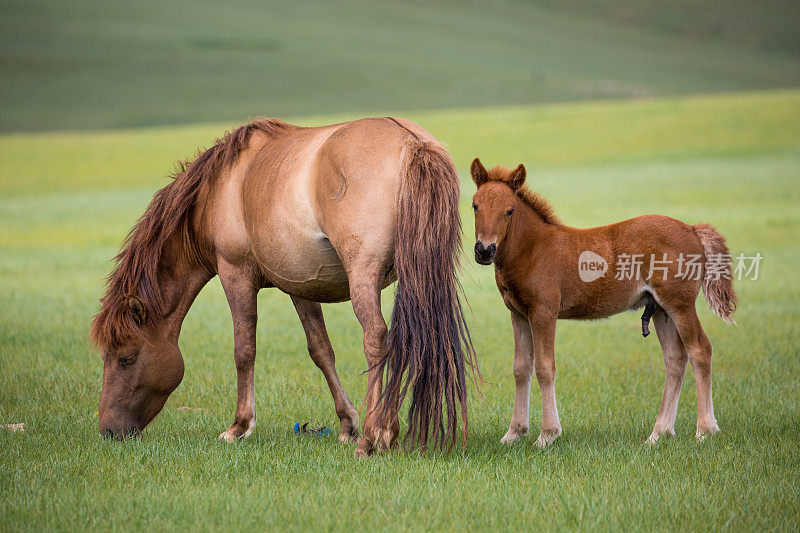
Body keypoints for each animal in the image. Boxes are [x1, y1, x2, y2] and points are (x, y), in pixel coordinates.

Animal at [89, 118, 476, 456]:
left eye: (126, 359)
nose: (109, 431)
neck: (220, 188)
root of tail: (413, 144)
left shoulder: (235, 275)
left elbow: (244, 350)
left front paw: (239, 426)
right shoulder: (300, 285)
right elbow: (321, 350)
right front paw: (346, 424)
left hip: (363, 277)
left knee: (377, 340)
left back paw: (373, 437)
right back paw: (384, 431)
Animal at [468, 160, 736, 446]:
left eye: (510, 210)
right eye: (474, 205)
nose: (484, 250)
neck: (533, 248)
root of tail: (693, 230)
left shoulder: (544, 312)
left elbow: (544, 368)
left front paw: (547, 434)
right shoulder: (518, 314)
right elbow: (520, 369)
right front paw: (514, 433)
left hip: (680, 304)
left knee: (700, 350)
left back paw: (705, 429)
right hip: (661, 309)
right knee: (675, 358)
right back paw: (658, 433)